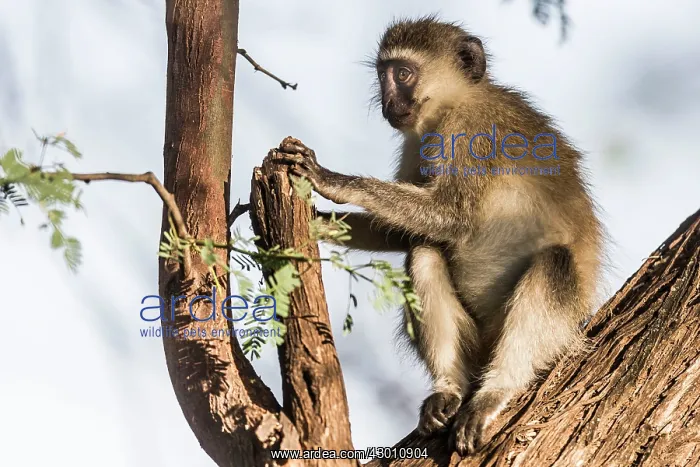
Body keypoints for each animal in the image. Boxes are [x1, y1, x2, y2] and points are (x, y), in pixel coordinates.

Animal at [276, 14, 603, 456]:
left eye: (403, 74)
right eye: (381, 74)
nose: (387, 101)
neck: (453, 104)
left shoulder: (472, 133)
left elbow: (452, 218)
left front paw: (334, 181)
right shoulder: (417, 141)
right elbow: (408, 235)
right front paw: (319, 221)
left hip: (560, 330)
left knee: (554, 263)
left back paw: (495, 391)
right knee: (424, 252)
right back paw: (449, 387)